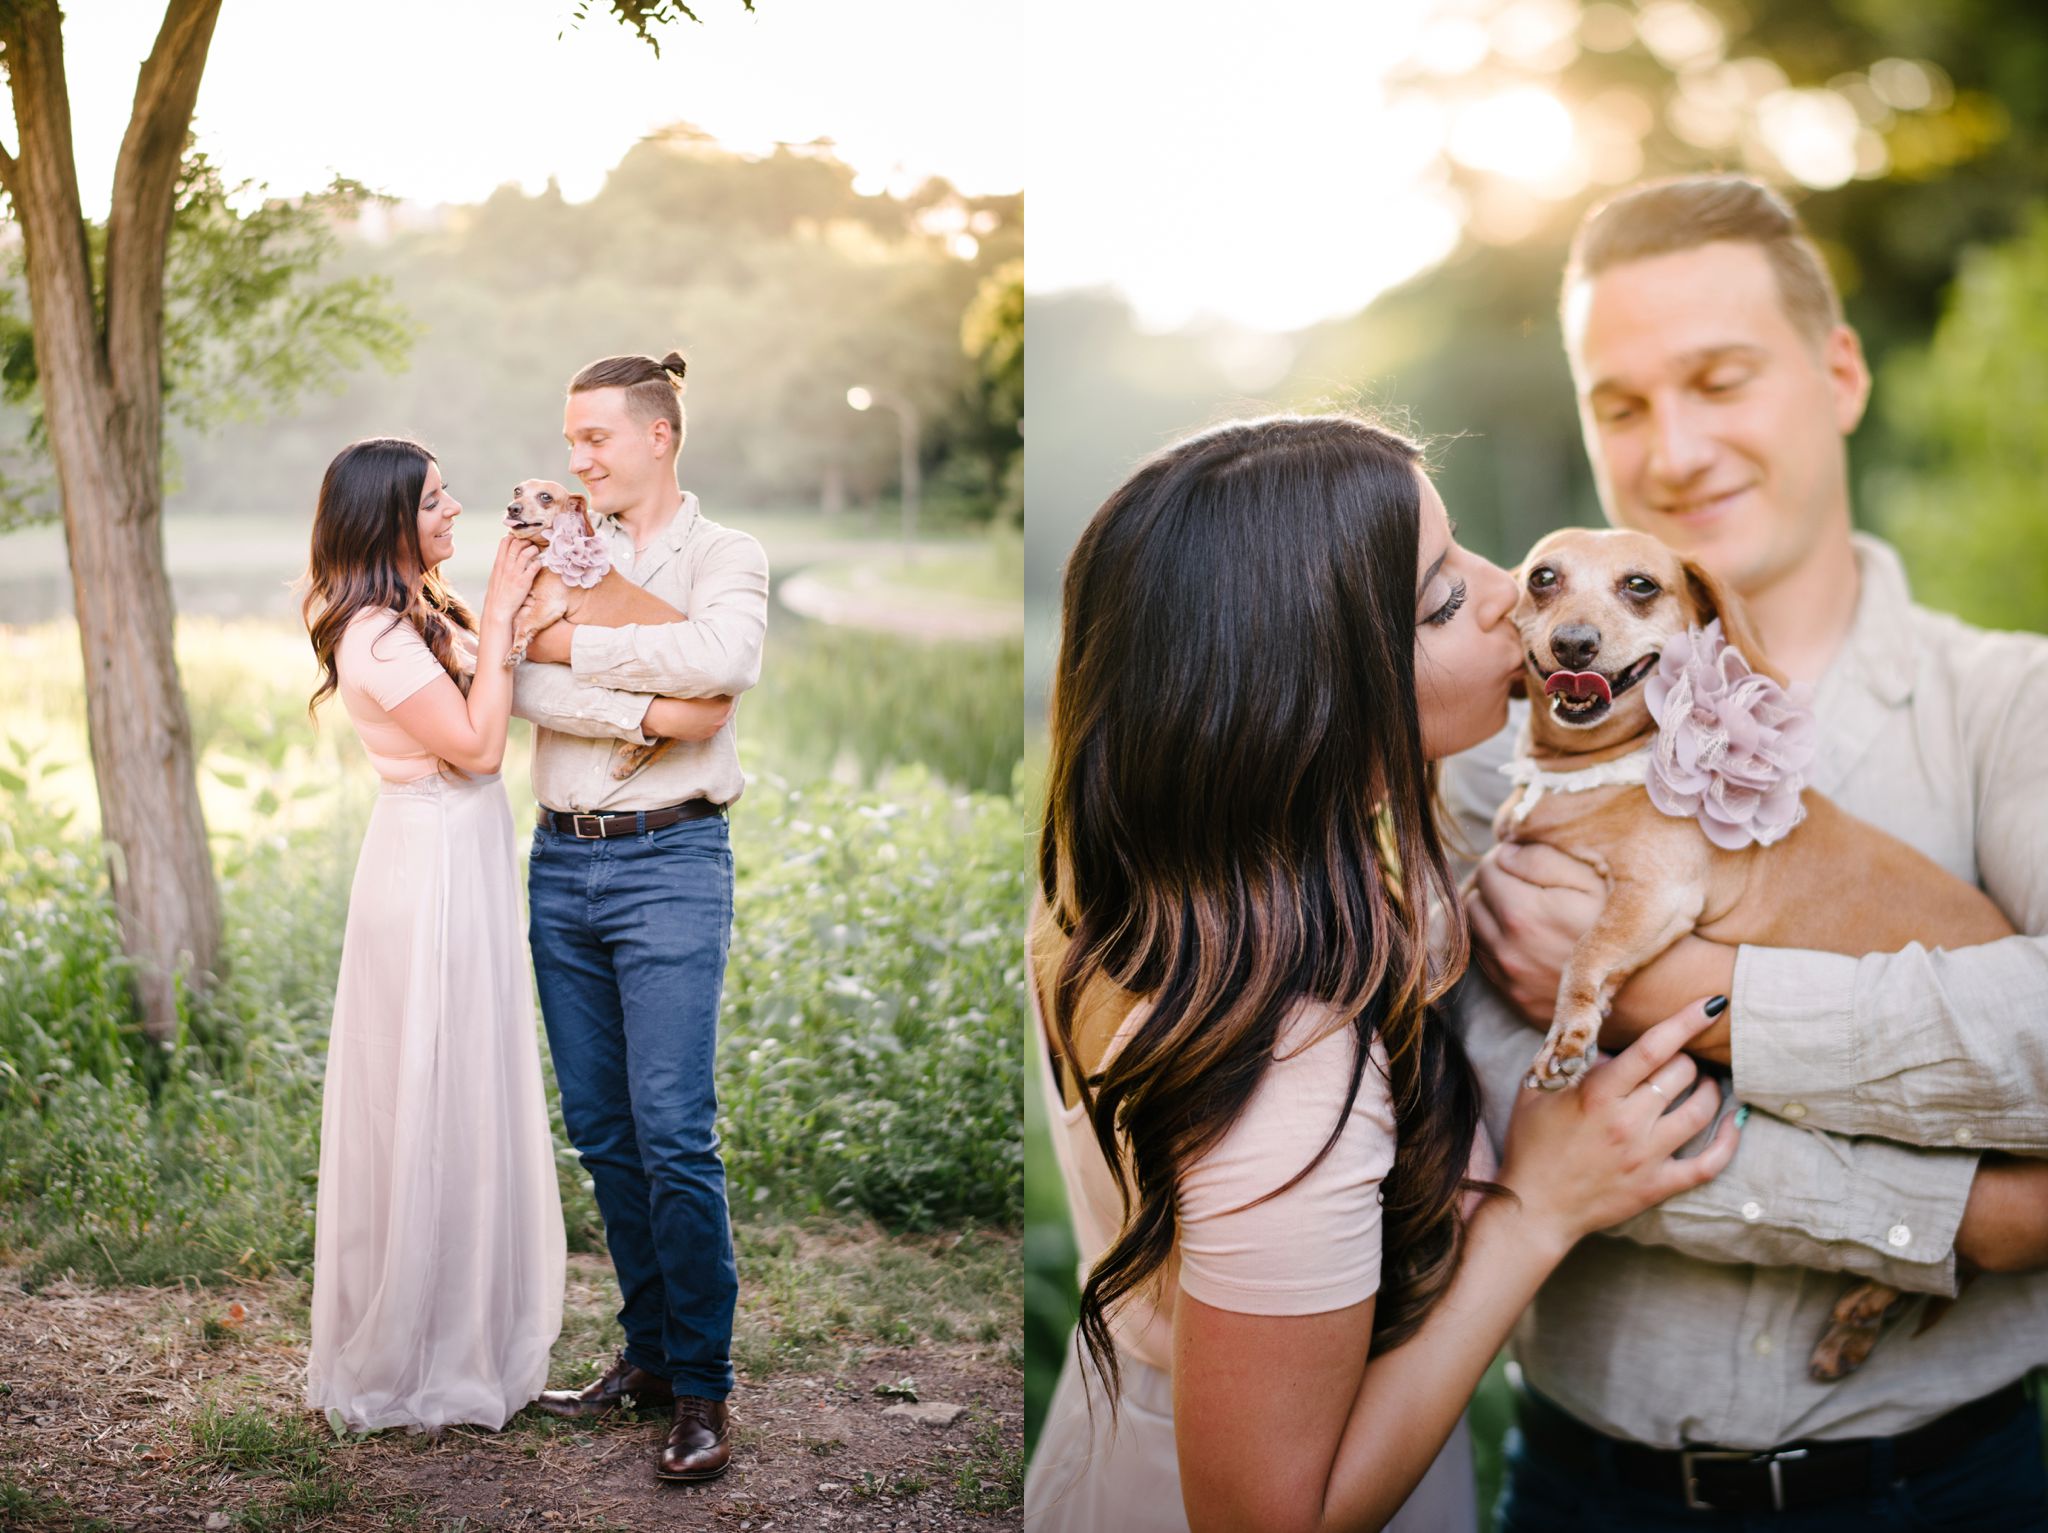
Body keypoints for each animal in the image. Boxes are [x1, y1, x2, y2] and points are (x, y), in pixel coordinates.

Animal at [505, 478, 684, 777]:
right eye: (517, 490)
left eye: (545, 497)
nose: (512, 507)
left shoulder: (549, 606)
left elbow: (524, 623)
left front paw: (516, 650)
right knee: (662, 743)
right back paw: (631, 759)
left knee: (665, 739)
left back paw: (631, 751)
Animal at [1499, 523, 2007, 1375]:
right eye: (1542, 578)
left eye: (1641, 585)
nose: (1573, 641)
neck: (1585, 774)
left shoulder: (1654, 893)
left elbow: (1586, 953)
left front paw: (1568, 1037)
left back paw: (1865, 1306)